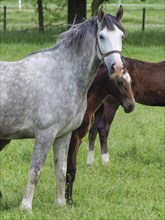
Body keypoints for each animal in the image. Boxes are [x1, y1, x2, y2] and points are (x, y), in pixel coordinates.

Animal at [0, 6, 124, 211]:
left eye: (122, 35)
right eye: (101, 36)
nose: (118, 68)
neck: (62, 75)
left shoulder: (63, 135)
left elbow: (62, 169)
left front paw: (60, 204)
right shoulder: (45, 134)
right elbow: (36, 170)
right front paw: (26, 207)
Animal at [65, 66, 135, 204]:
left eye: (130, 81)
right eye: (120, 82)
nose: (131, 106)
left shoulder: (78, 139)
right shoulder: (73, 137)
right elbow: (71, 169)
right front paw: (69, 202)